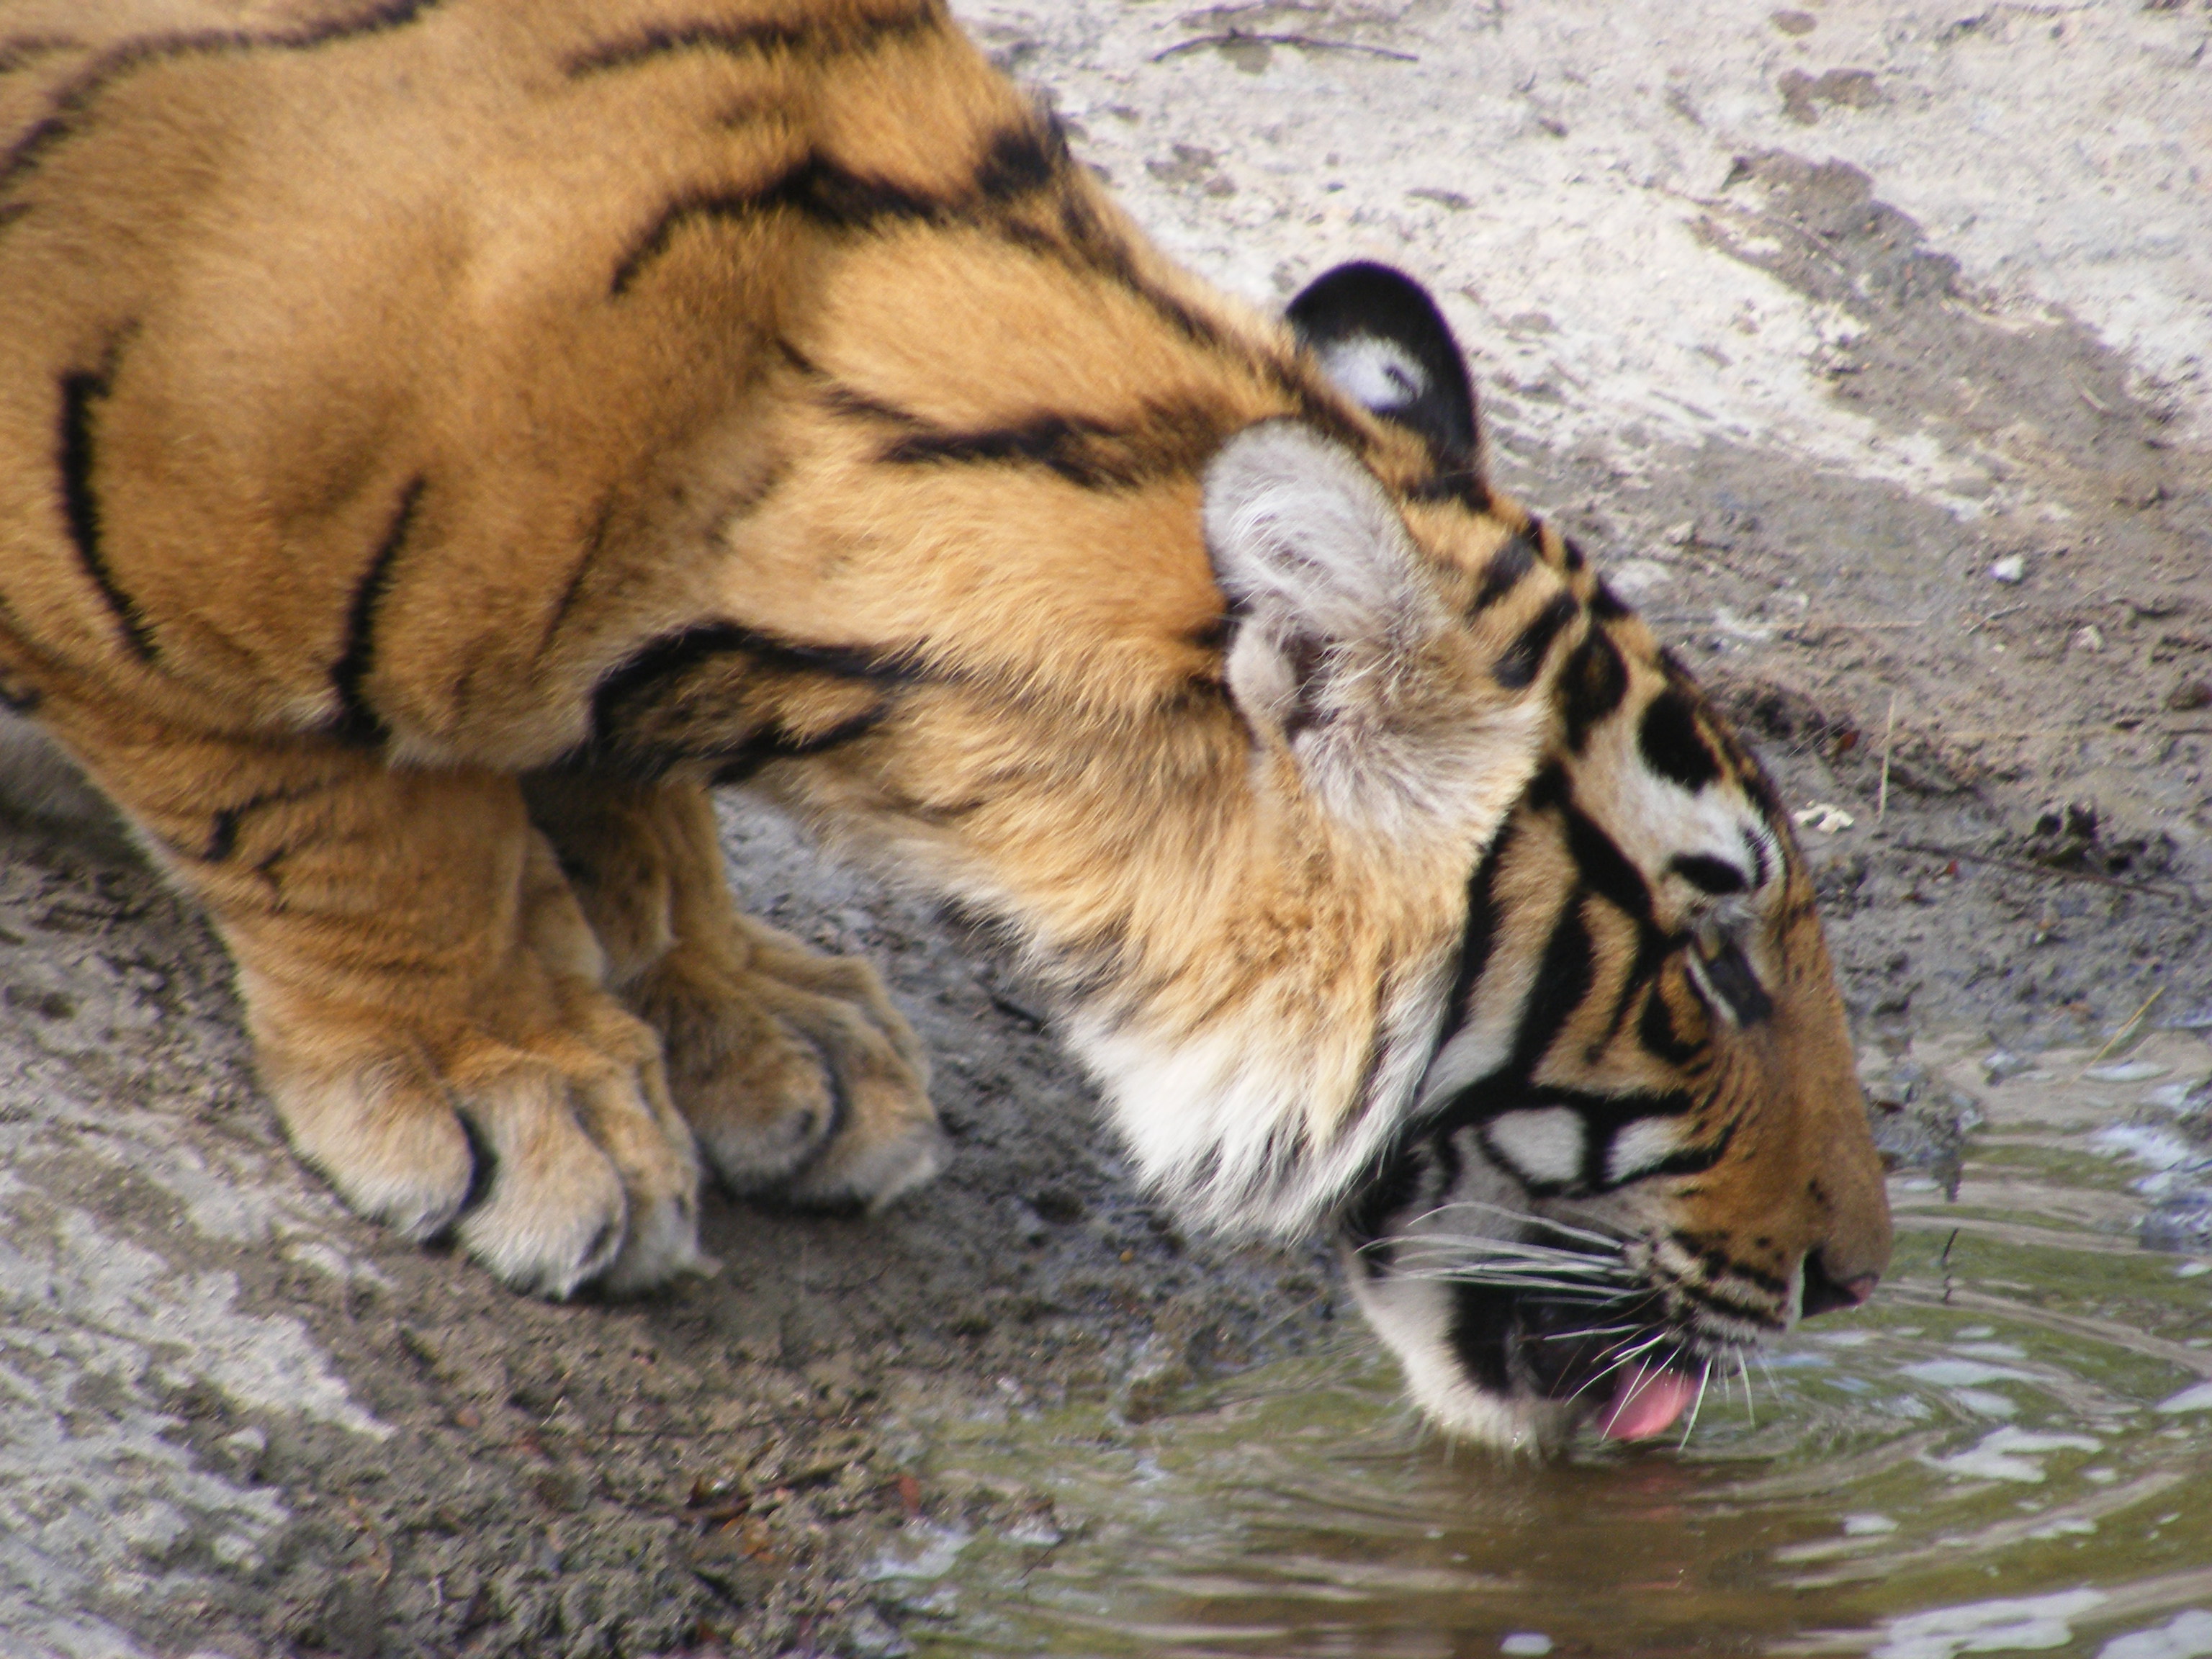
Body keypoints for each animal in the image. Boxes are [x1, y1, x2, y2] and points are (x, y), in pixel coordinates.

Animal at [4, 0, 1884, 1451]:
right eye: (1709, 964)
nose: (1856, 1275)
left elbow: (618, 790)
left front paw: (757, 1029)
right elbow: (348, 821)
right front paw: (510, 1088)